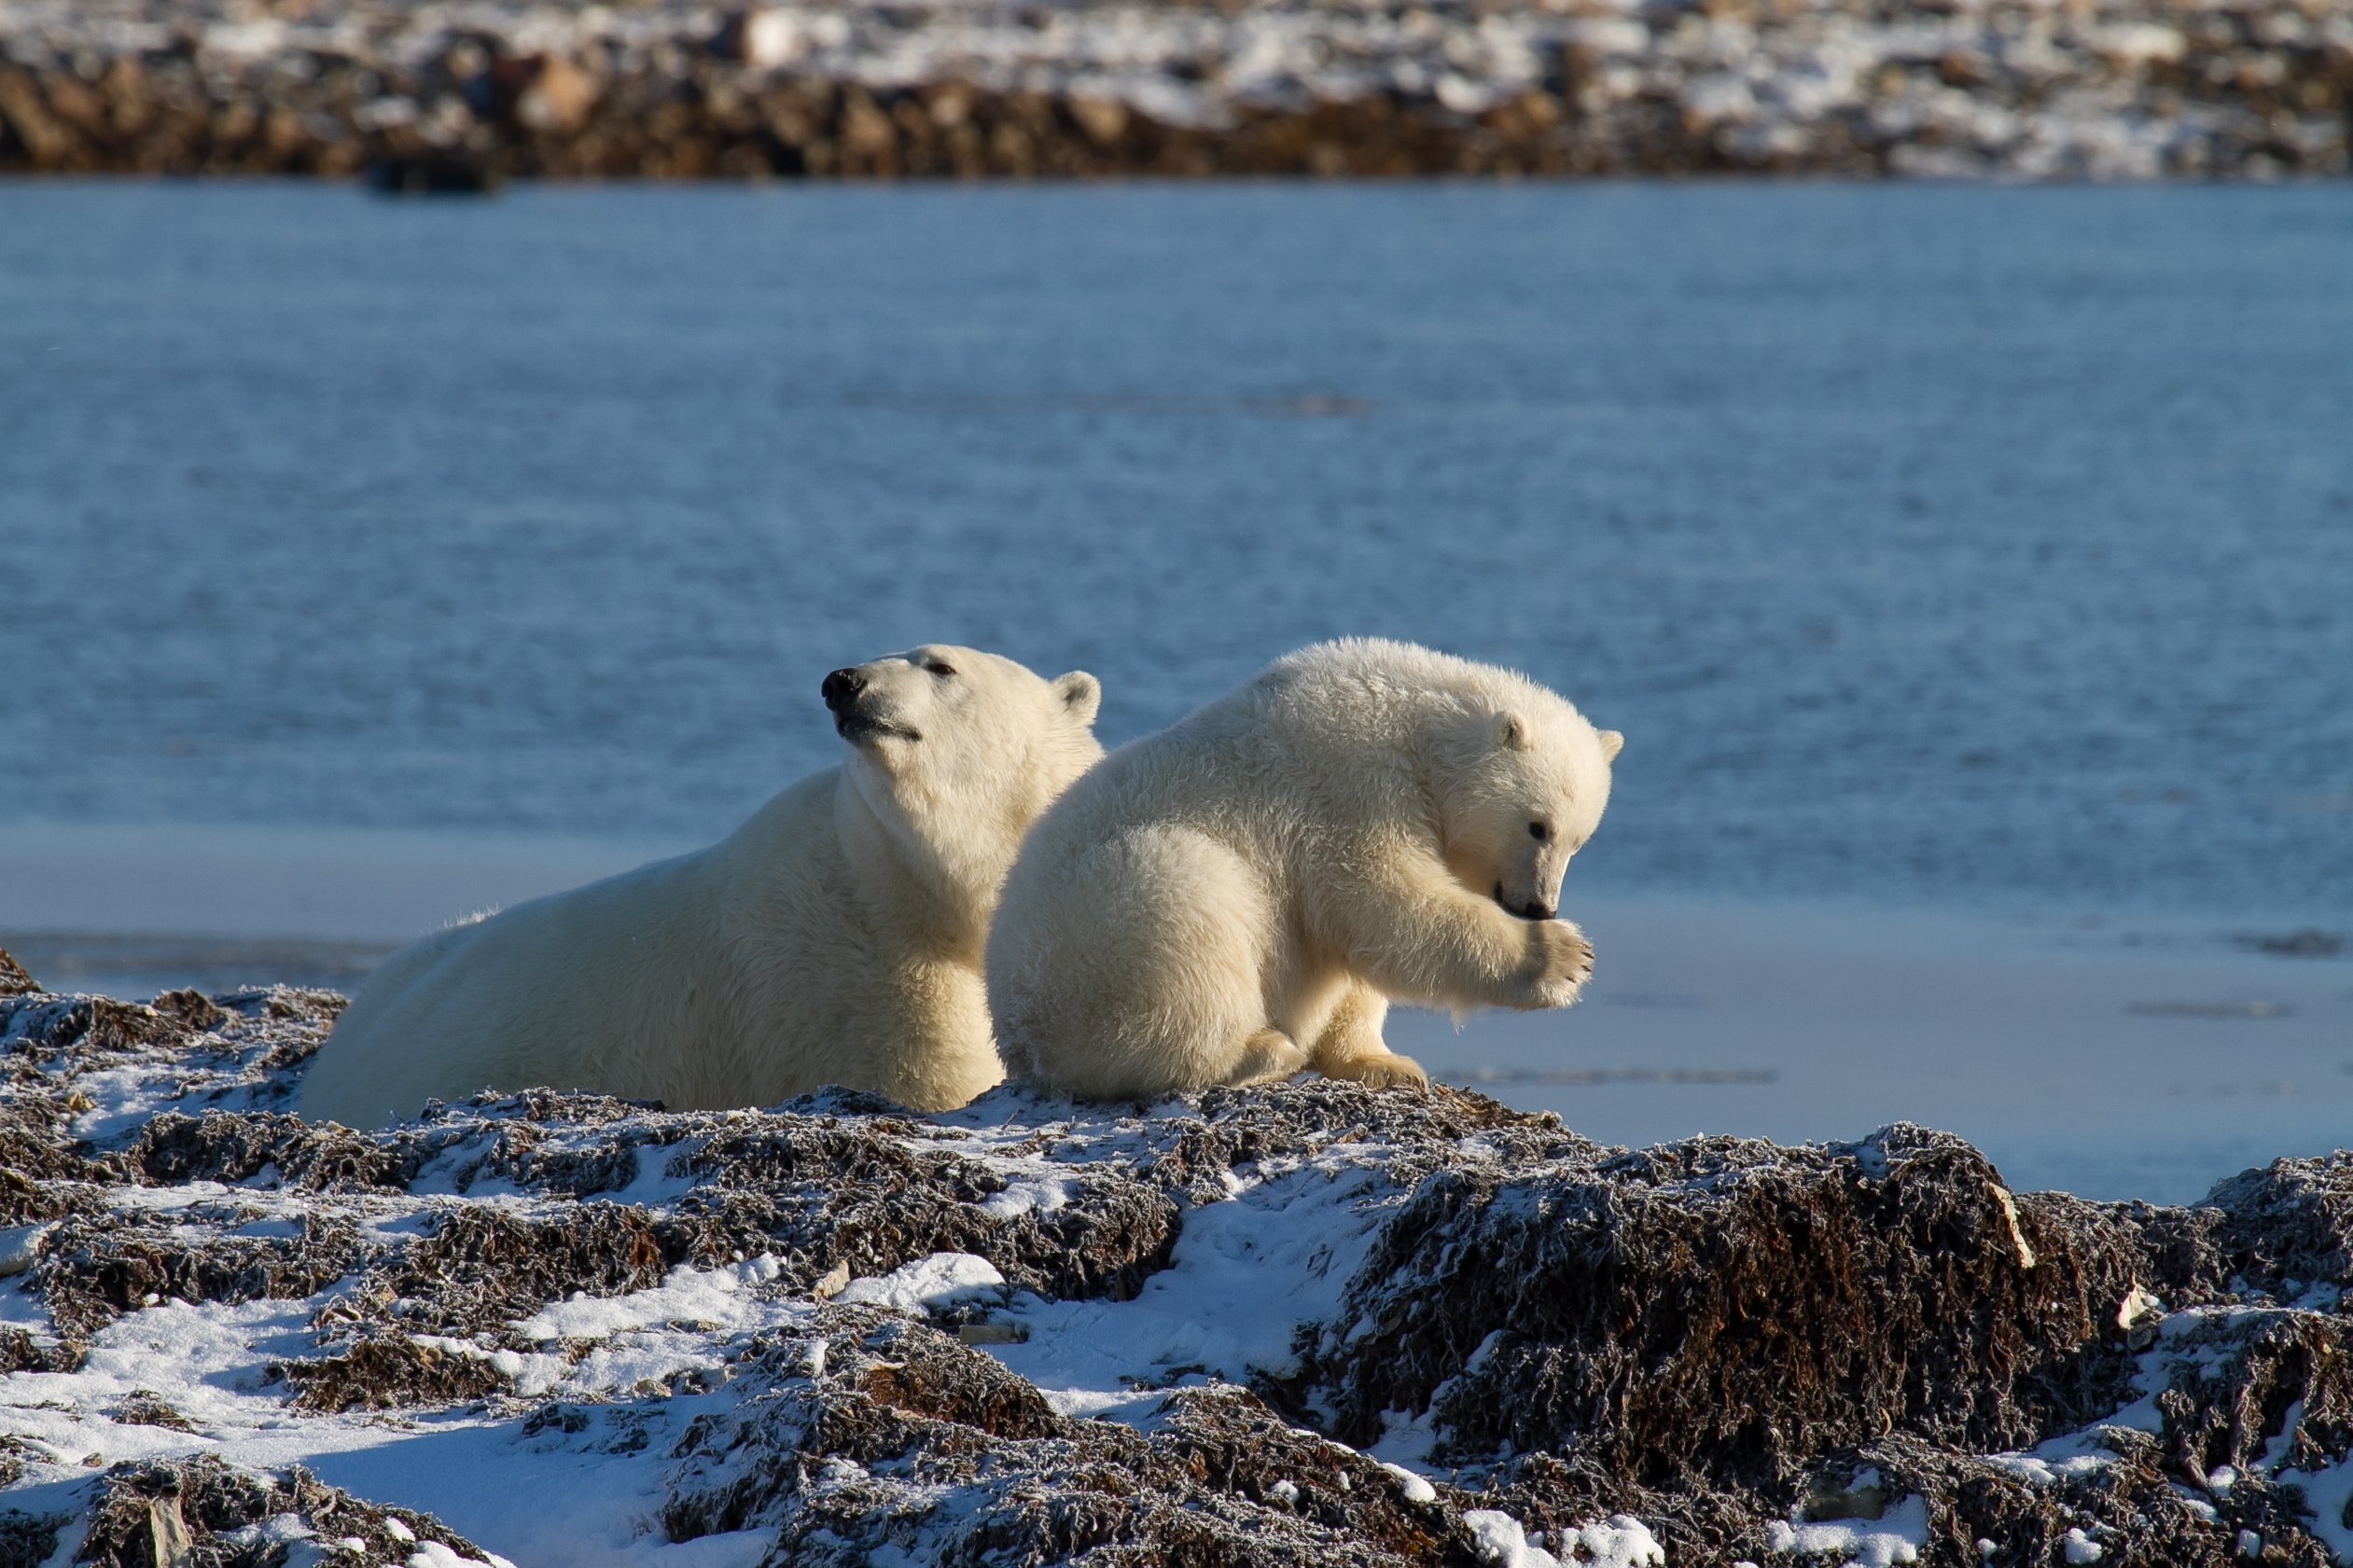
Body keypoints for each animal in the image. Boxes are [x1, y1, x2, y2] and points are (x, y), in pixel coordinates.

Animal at [988, 639, 1619, 1104]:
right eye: (1538, 827)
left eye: (1579, 840)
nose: (1540, 905)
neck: (1408, 724)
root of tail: (1011, 1029)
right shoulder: (1352, 788)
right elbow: (1386, 902)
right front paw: (1565, 958)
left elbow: (1350, 950)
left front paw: (1385, 1063)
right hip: (1093, 945)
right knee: (1187, 912)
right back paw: (1261, 1050)